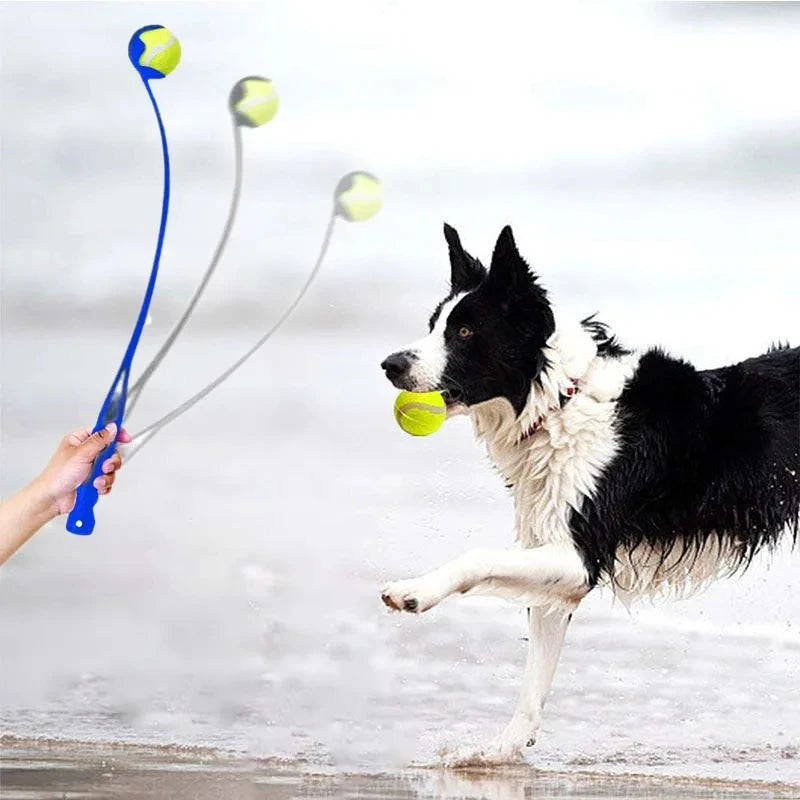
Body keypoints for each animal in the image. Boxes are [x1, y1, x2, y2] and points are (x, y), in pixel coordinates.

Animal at [380, 225, 800, 768]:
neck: (560, 399)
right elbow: (533, 682)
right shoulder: (558, 566)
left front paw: (415, 590)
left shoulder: (580, 554)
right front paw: (497, 752)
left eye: (466, 332)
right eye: (434, 325)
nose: (389, 364)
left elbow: (476, 557)